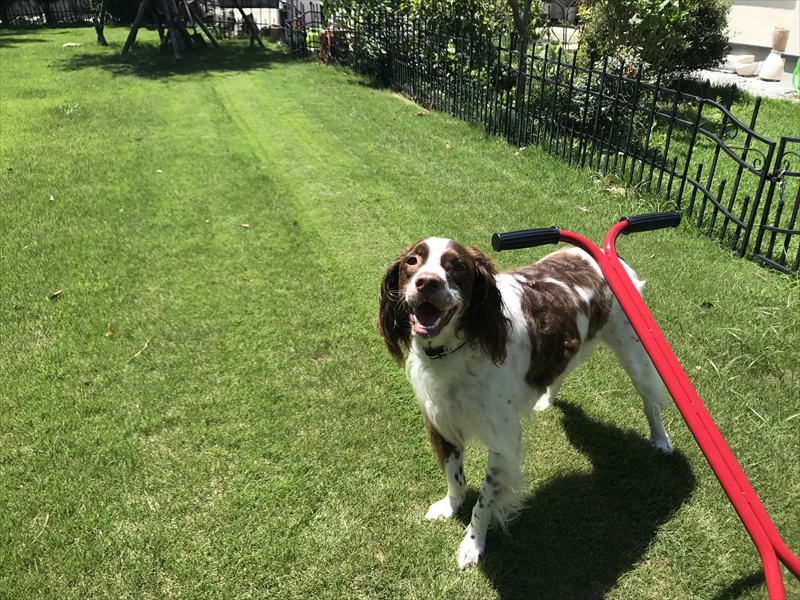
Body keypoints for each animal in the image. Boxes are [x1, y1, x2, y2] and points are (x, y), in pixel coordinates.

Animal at [378, 237, 672, 568]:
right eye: (412, 261)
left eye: (458, 266)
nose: (427, 282)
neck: (459, 349)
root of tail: (603, 253)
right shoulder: (442, 420)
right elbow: (455, 478)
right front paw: (450, 507)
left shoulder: (503, 437)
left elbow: (484, 500)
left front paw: (473, 544)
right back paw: (545, 400)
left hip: (634, 353)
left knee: (650, 401)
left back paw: (660, 440)